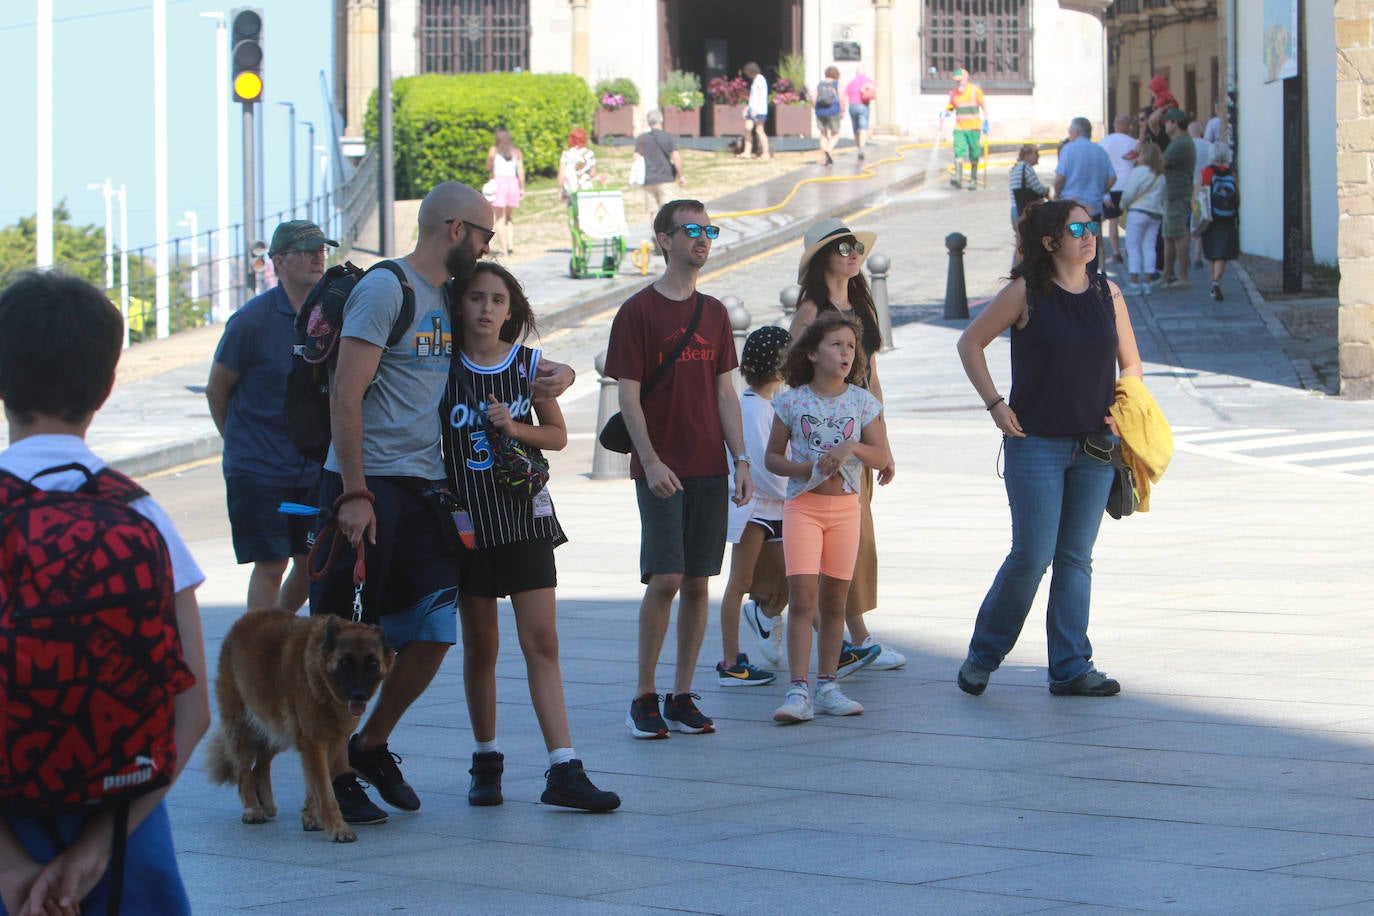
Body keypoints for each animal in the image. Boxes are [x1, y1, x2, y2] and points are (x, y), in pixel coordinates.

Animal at [207, 609, 392, 845]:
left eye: (372, 664)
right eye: (345, 663)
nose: (358, 695)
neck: (321, 680)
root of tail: (247, 618)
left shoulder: (330, 742)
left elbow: (316, 785)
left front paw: (311, 816)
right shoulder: (313, 743)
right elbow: (324, 790)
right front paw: (338, 828)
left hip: (280, 731)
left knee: (261, 764)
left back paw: (266, 802)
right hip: (244, 730)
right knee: (244, 771)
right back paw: (252, 808)